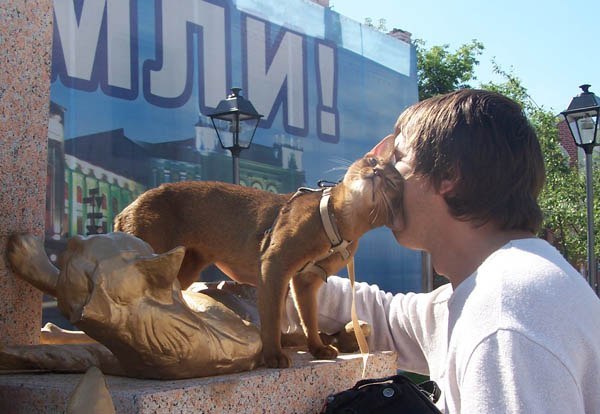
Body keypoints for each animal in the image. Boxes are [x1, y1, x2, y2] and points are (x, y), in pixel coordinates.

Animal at [113, 134, 404, 368]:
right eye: (372, 162)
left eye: (391, 183)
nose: (376, 173)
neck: (338, 221)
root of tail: (127, 209)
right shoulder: (274, 266)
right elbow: (273, 317)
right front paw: (273, 355)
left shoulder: (306, 280)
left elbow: (308, 318)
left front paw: (317, 348)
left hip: (183, 268)